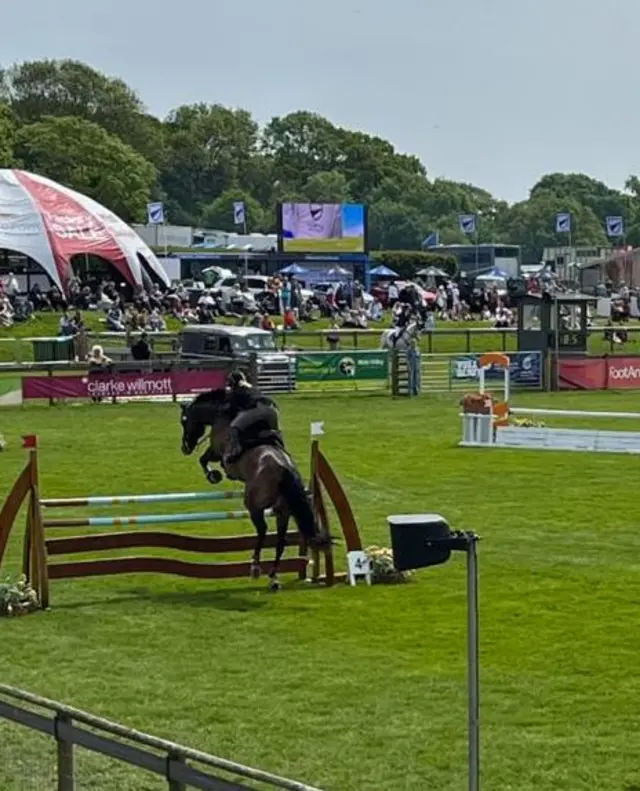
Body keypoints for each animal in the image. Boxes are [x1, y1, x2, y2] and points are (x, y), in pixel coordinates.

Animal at [180, 386, 330, 592]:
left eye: (184, 421)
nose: (185, 448)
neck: (221, 412)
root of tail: (285, 469)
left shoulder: (216, 450)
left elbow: (203, 460)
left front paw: (213, 476)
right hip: (283, 511)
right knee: (280, 541)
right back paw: (273, 578)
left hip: (253, 505)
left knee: (263, 530)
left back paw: (255, 567)